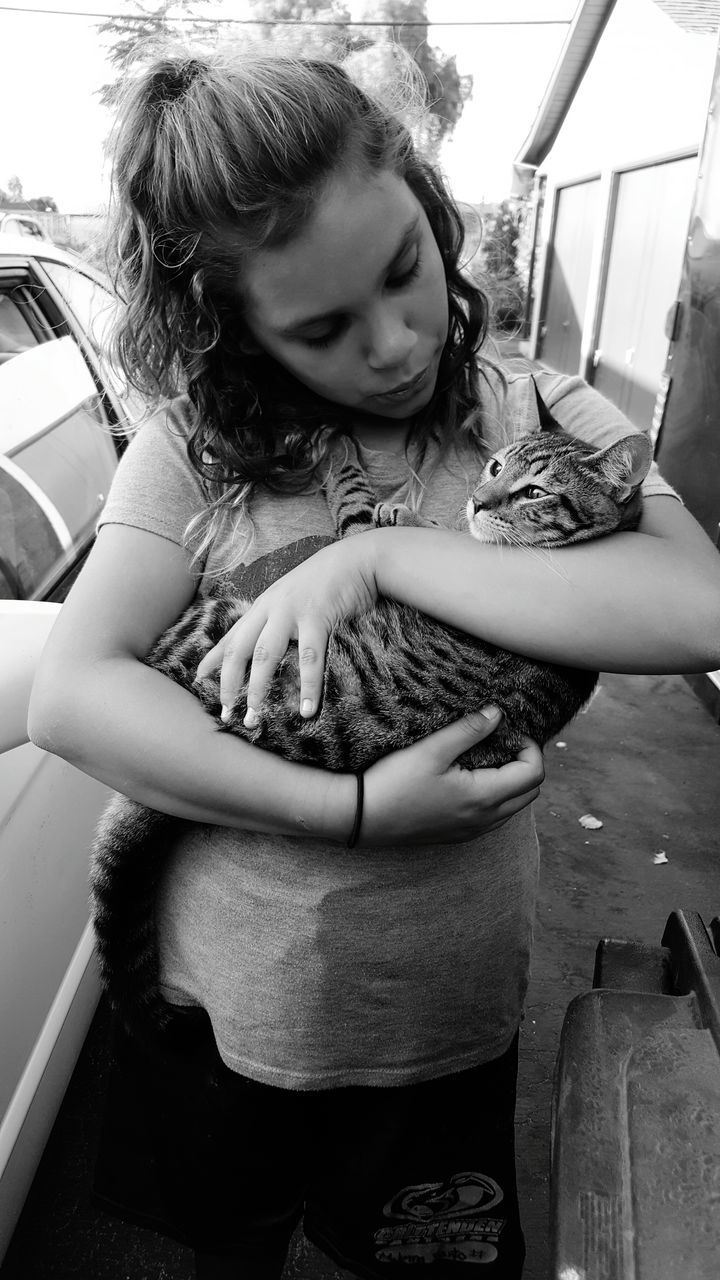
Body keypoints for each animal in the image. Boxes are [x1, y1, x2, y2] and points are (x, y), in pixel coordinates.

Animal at [88, 394, 650, 1034]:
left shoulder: (364, 542)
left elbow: (355, 504)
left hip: (222, 624)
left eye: (534, 492)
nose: (479, 500)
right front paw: (416, 515)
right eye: (494, 467)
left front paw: (348, 461)